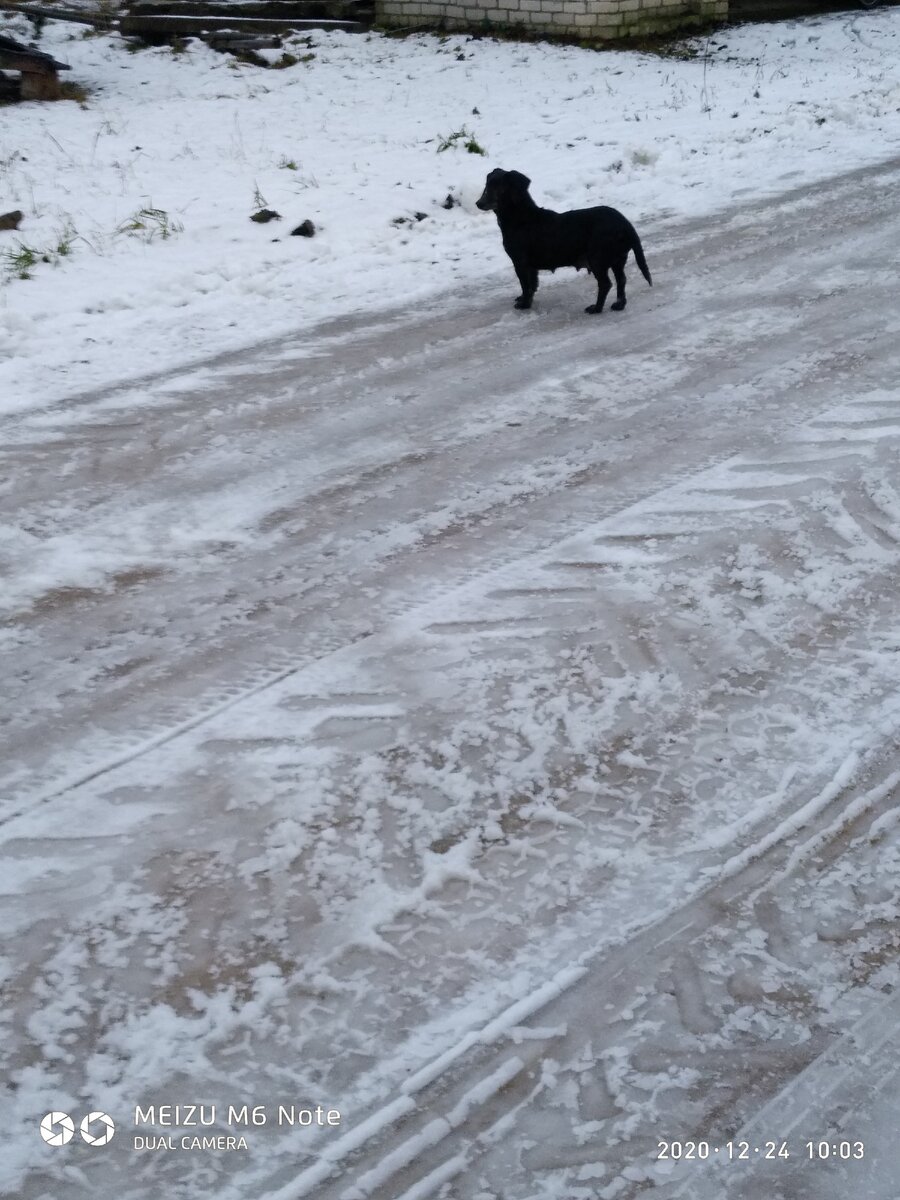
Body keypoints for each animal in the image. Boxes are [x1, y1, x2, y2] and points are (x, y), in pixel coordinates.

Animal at [475, 171, 652, 319]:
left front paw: (524, 304)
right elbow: (532, 284)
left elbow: (525, 285)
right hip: (618, 259)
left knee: (606, 284)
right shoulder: (530, 267)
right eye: (487, 185)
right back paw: (619, 305)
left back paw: (596, 308)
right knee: (621, 280)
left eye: (498, 188)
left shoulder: (520, 262)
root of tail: (625, 224)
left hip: (598, 259)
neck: (521, 218)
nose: (478, 203)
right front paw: (525, 299)